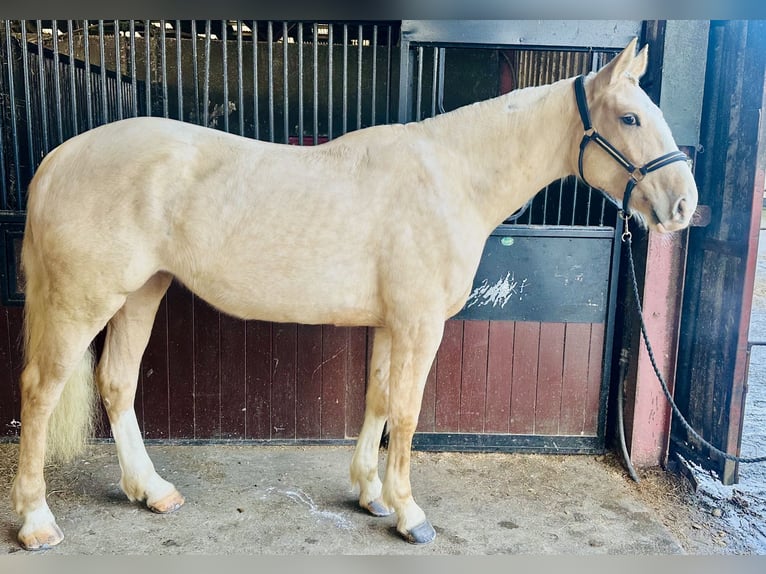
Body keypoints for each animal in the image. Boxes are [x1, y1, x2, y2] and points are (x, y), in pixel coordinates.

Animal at [11, 38, 697, 549]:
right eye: (630, 117)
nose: (684, 206)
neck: (451, 177)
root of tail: (57, 159)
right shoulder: (420, 324)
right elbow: (409, 412)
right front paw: (410, 514)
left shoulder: (392, 323)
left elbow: (377, 400)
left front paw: (370, 494)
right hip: (82, 302)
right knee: (40, 393)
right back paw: (37, 521)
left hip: (141, 293)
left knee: (116, 383)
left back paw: (152, 492)